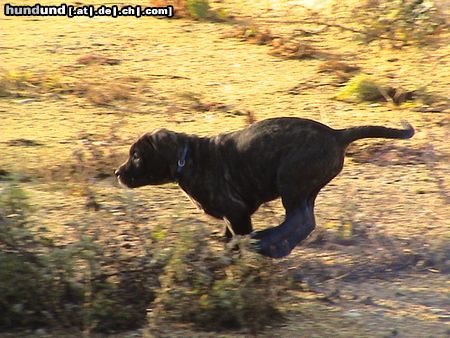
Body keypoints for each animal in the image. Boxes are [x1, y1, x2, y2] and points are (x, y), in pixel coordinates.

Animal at [115, 117, 414, 258]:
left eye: (137, 156)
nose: (117, 173)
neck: (187, 158)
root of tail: (336, 134)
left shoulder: (236, 211)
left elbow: (238, 237)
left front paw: (239, 253)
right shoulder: (235, 213)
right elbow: (229, 236)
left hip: (291, 181)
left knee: (300, 220)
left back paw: (268, 242)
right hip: (306, 188)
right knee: (305, 220)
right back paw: (275, 243)